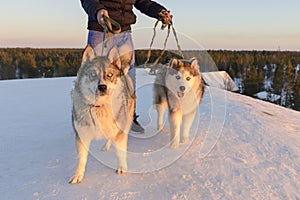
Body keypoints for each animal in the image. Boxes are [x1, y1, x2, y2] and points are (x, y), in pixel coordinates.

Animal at [69, 44, 135, 184]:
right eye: (93, 74)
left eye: (109, 75)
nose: (102, 87)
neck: (99, 107)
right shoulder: (82, 135)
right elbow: (82, 159)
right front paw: (78, 175)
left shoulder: (119, 132)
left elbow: (120, 152)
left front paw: (122, 168)